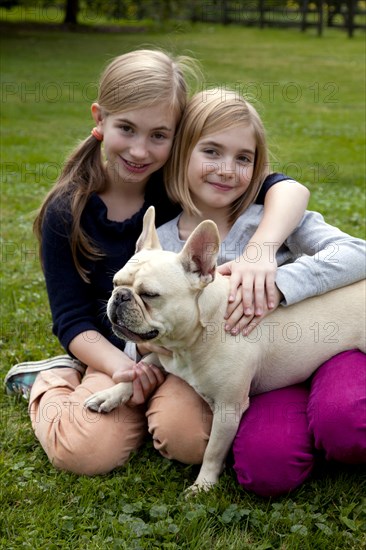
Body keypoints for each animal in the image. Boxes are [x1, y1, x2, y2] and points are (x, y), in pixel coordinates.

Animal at [84, 207, 364, 496]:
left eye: (150, 294)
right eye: (115, 282)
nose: (120, 296)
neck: (188, 342)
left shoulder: (228, 409)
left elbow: (213, 451)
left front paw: (203, 485)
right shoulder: (165, 356)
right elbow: (140, 367)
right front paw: (110, 394)